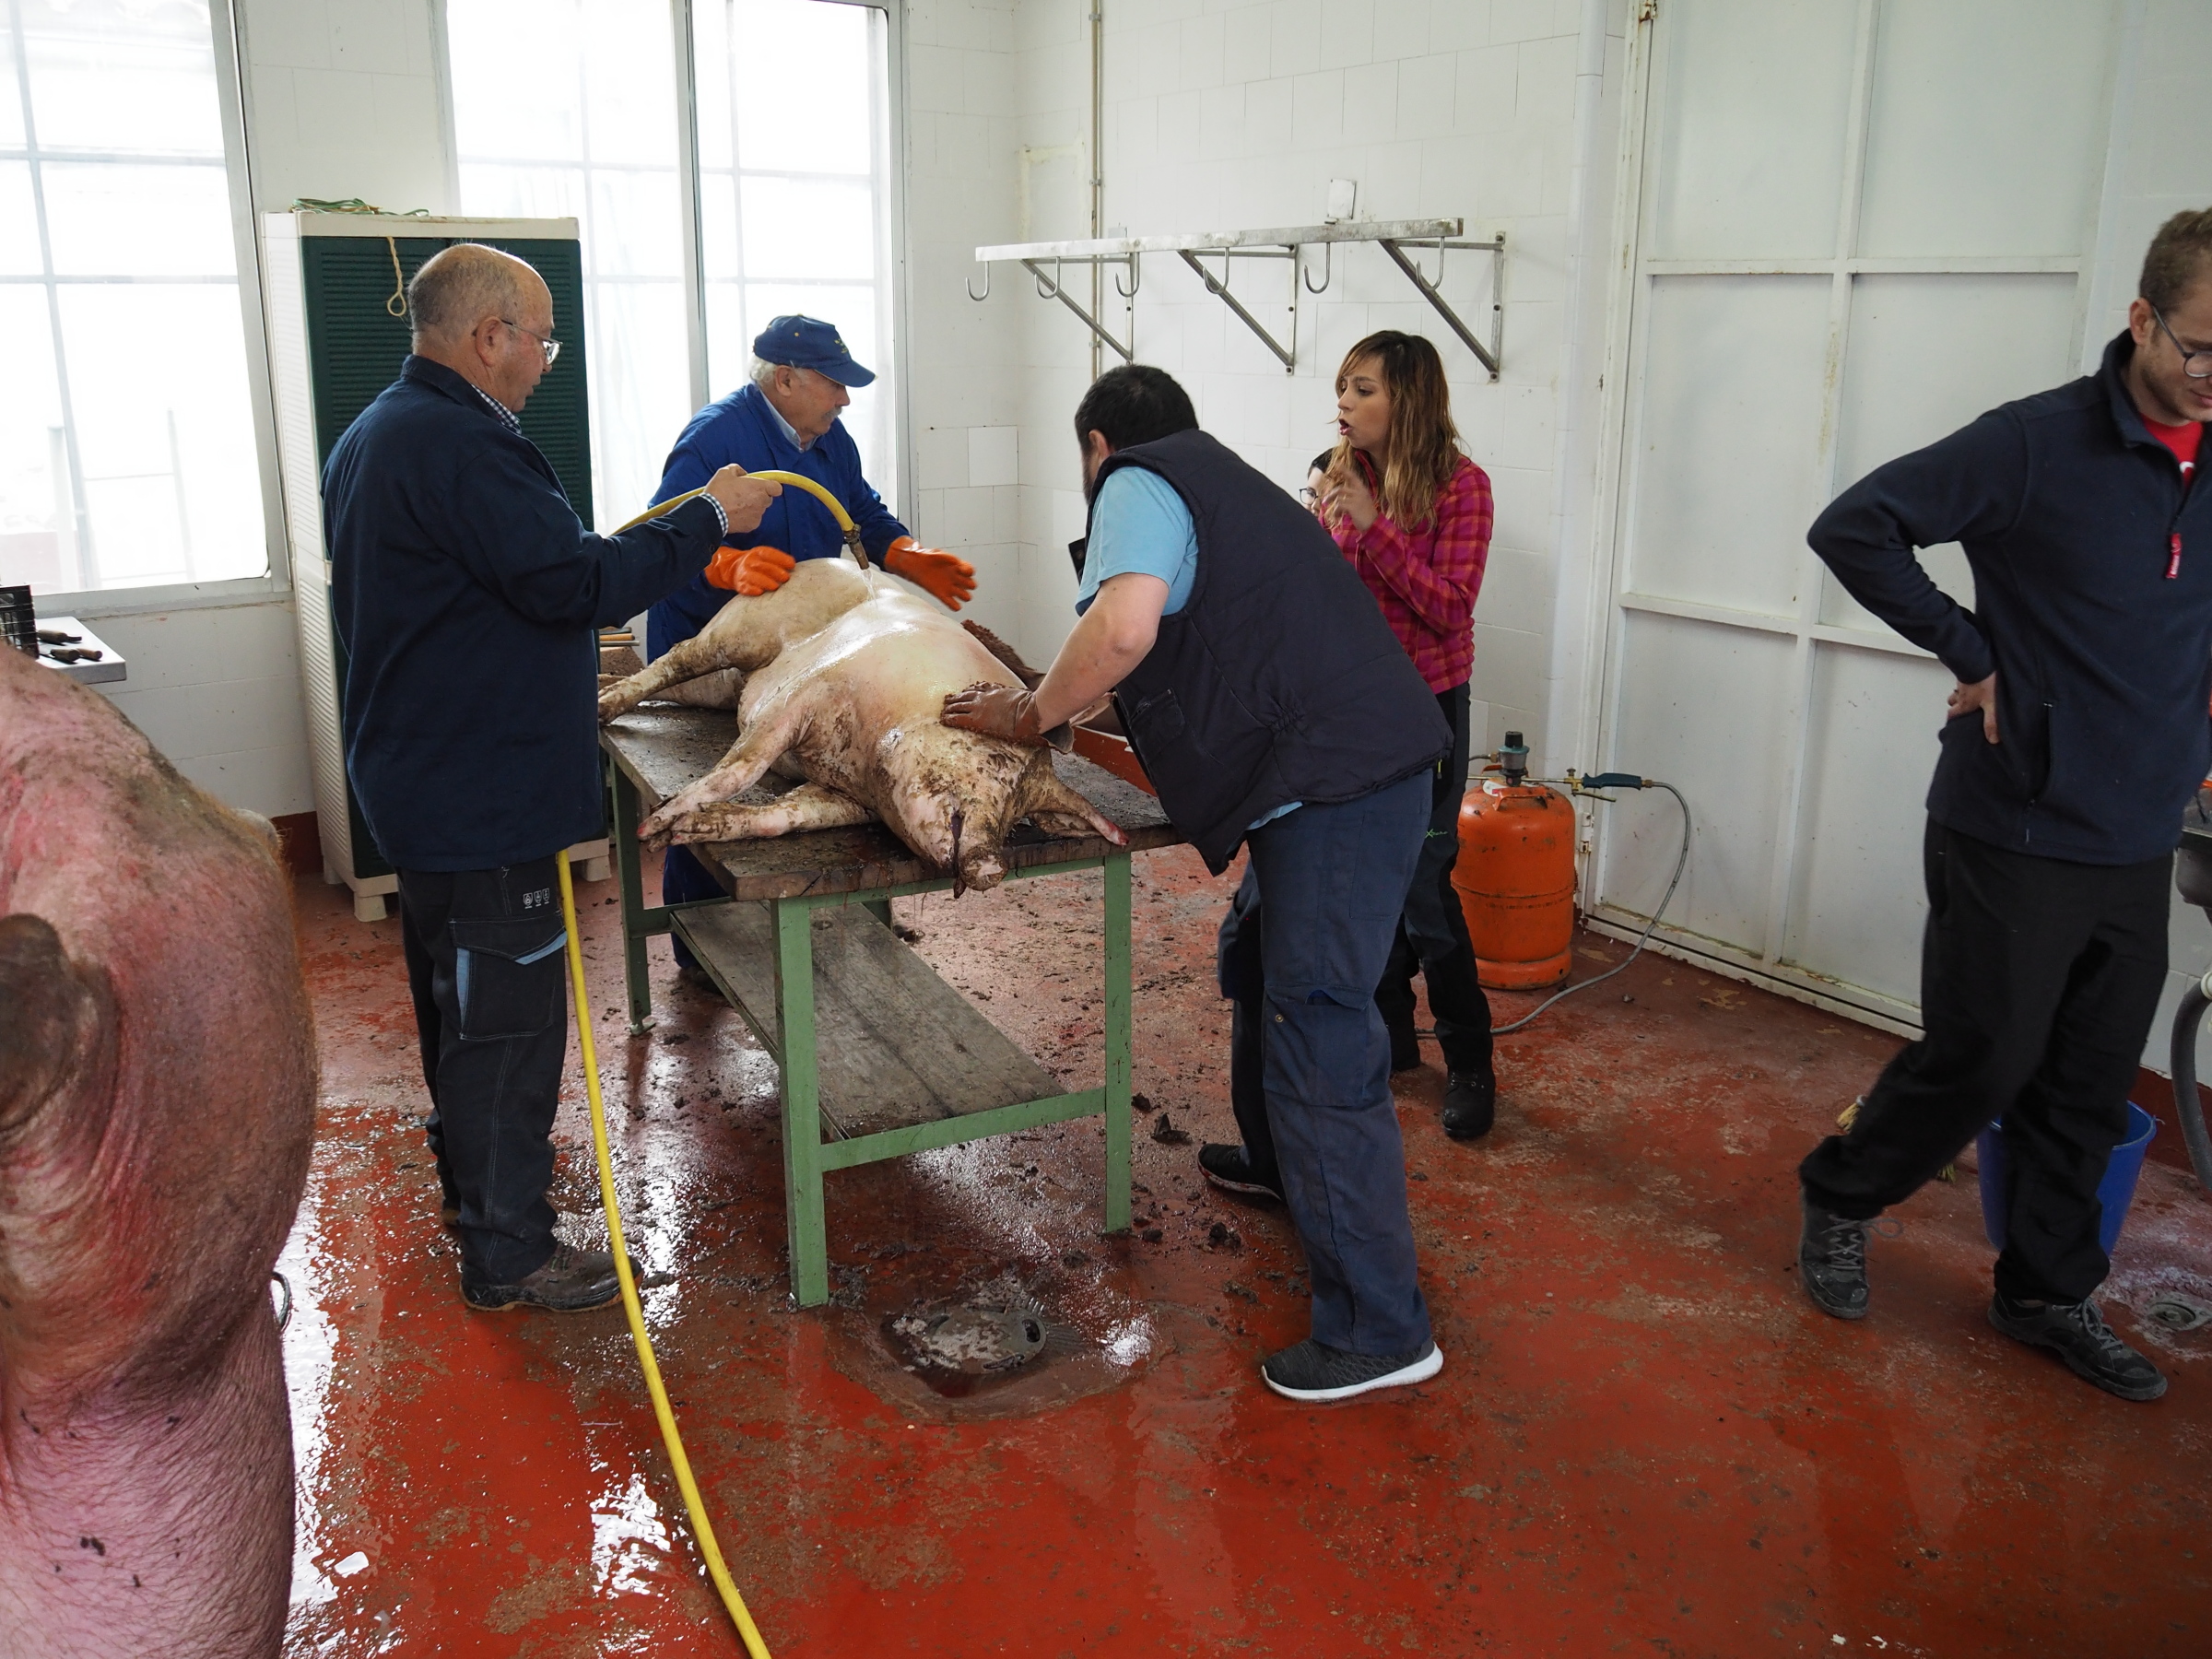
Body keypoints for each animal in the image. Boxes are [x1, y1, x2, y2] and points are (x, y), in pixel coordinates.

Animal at [596, 558, 1127, 893]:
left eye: (1019, 814)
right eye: (999, 764)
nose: (993, 869)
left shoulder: (848, 798)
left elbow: (787, 815)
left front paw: (684, 831)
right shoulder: (802, 695)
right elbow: (743, 765)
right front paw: (655, 826)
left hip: (727, 686)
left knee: (682, 686)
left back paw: (600, 689)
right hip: (740, 629)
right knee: (674, 659)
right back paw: (603, 710)